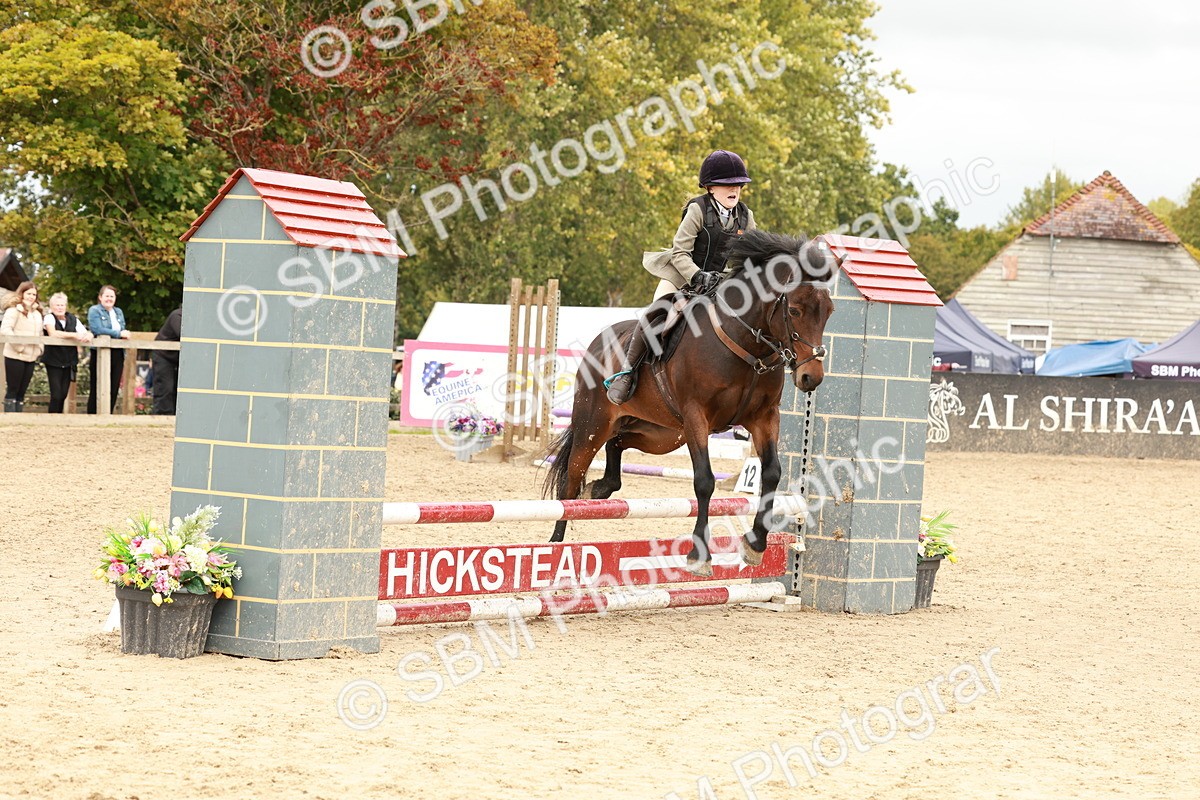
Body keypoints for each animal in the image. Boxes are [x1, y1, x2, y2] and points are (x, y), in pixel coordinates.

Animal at [542, 230, 838, 575]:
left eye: (829, 311)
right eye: (794, 311)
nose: (811, 377)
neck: (746, 343)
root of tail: (596, 344)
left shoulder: (764, 418)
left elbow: (771, 474)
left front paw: (755, 545)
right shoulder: (697, 416)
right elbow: (705, 481)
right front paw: (699, 555)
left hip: (659, 435)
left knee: (617, 447)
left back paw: (598, 490)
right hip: (594, 423)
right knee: (571, 481)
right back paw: (555, 545)